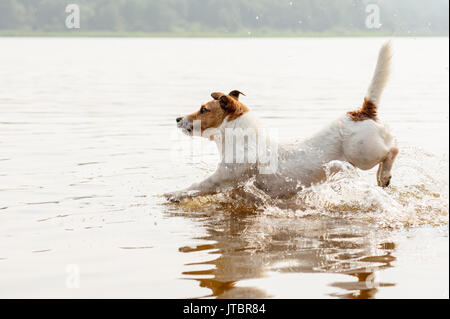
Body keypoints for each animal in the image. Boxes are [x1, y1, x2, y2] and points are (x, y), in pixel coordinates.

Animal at [167, 42, 400, 202]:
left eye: (203, 109)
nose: (177, 118)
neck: (241, 136)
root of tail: (361, 111)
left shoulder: (221, 179)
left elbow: (197, 185)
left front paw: (174, 193)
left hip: (363, 153)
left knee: (393, 150)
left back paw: (384, 174)